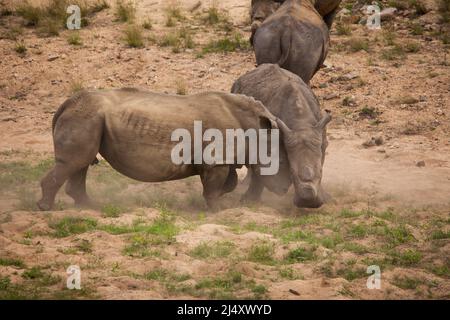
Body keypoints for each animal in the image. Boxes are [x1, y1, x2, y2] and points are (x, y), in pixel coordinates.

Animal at [37, 89, 282, 211]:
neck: (252, 122)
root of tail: (66, 103)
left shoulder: (221, 159)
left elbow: (228, 182)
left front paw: (219, 202)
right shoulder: (216, 159)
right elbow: (216, 185)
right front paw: (217, 210)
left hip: (89, 117)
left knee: (81, 163)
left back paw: (90, 207)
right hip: (85, 116)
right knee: (76, 162)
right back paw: (46, 208)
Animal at [232, 64, 330, 209]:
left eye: (321, 172)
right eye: (291, 174)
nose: (308, 203)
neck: (301, 124)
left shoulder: (320, 139)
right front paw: (248, 201)